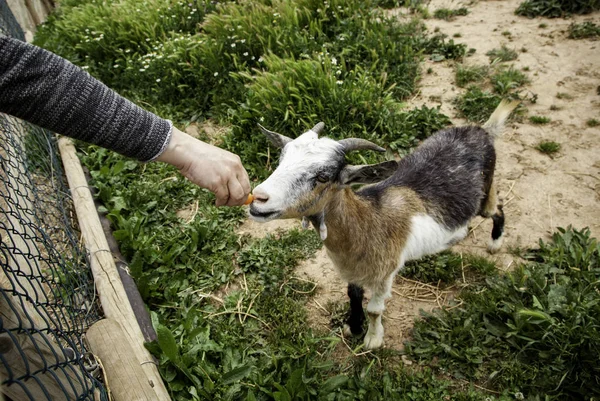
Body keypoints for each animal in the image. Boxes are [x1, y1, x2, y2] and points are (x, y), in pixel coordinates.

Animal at [248, 101, 520, 350]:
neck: (369, 221)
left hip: (485, 194)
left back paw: (495, 243)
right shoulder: (352, 269)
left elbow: (375, 309)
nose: (259, 197)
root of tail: (482, 130)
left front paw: (372, 339)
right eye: (280, 161)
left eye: (323, 176)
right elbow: (354, 296)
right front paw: (354, 326)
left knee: (497, 209)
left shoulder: (385, 272)